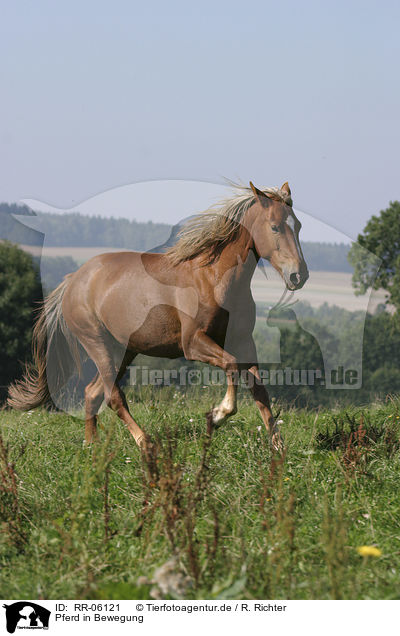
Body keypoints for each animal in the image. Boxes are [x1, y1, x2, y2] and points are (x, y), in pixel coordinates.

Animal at [8, 180, 310, 452]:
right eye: (274, 226)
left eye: (298, 225)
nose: (299, 275)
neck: (214, 279)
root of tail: (73, 281)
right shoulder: (193, 343)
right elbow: (230, 364)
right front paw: (217, 415)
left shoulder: (244, 341)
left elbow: (259, 390)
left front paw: (278, 447)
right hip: (96, 343)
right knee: (113, 397)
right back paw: (145, 442)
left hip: (123, 350)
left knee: (92, 393)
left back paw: (91, 445)